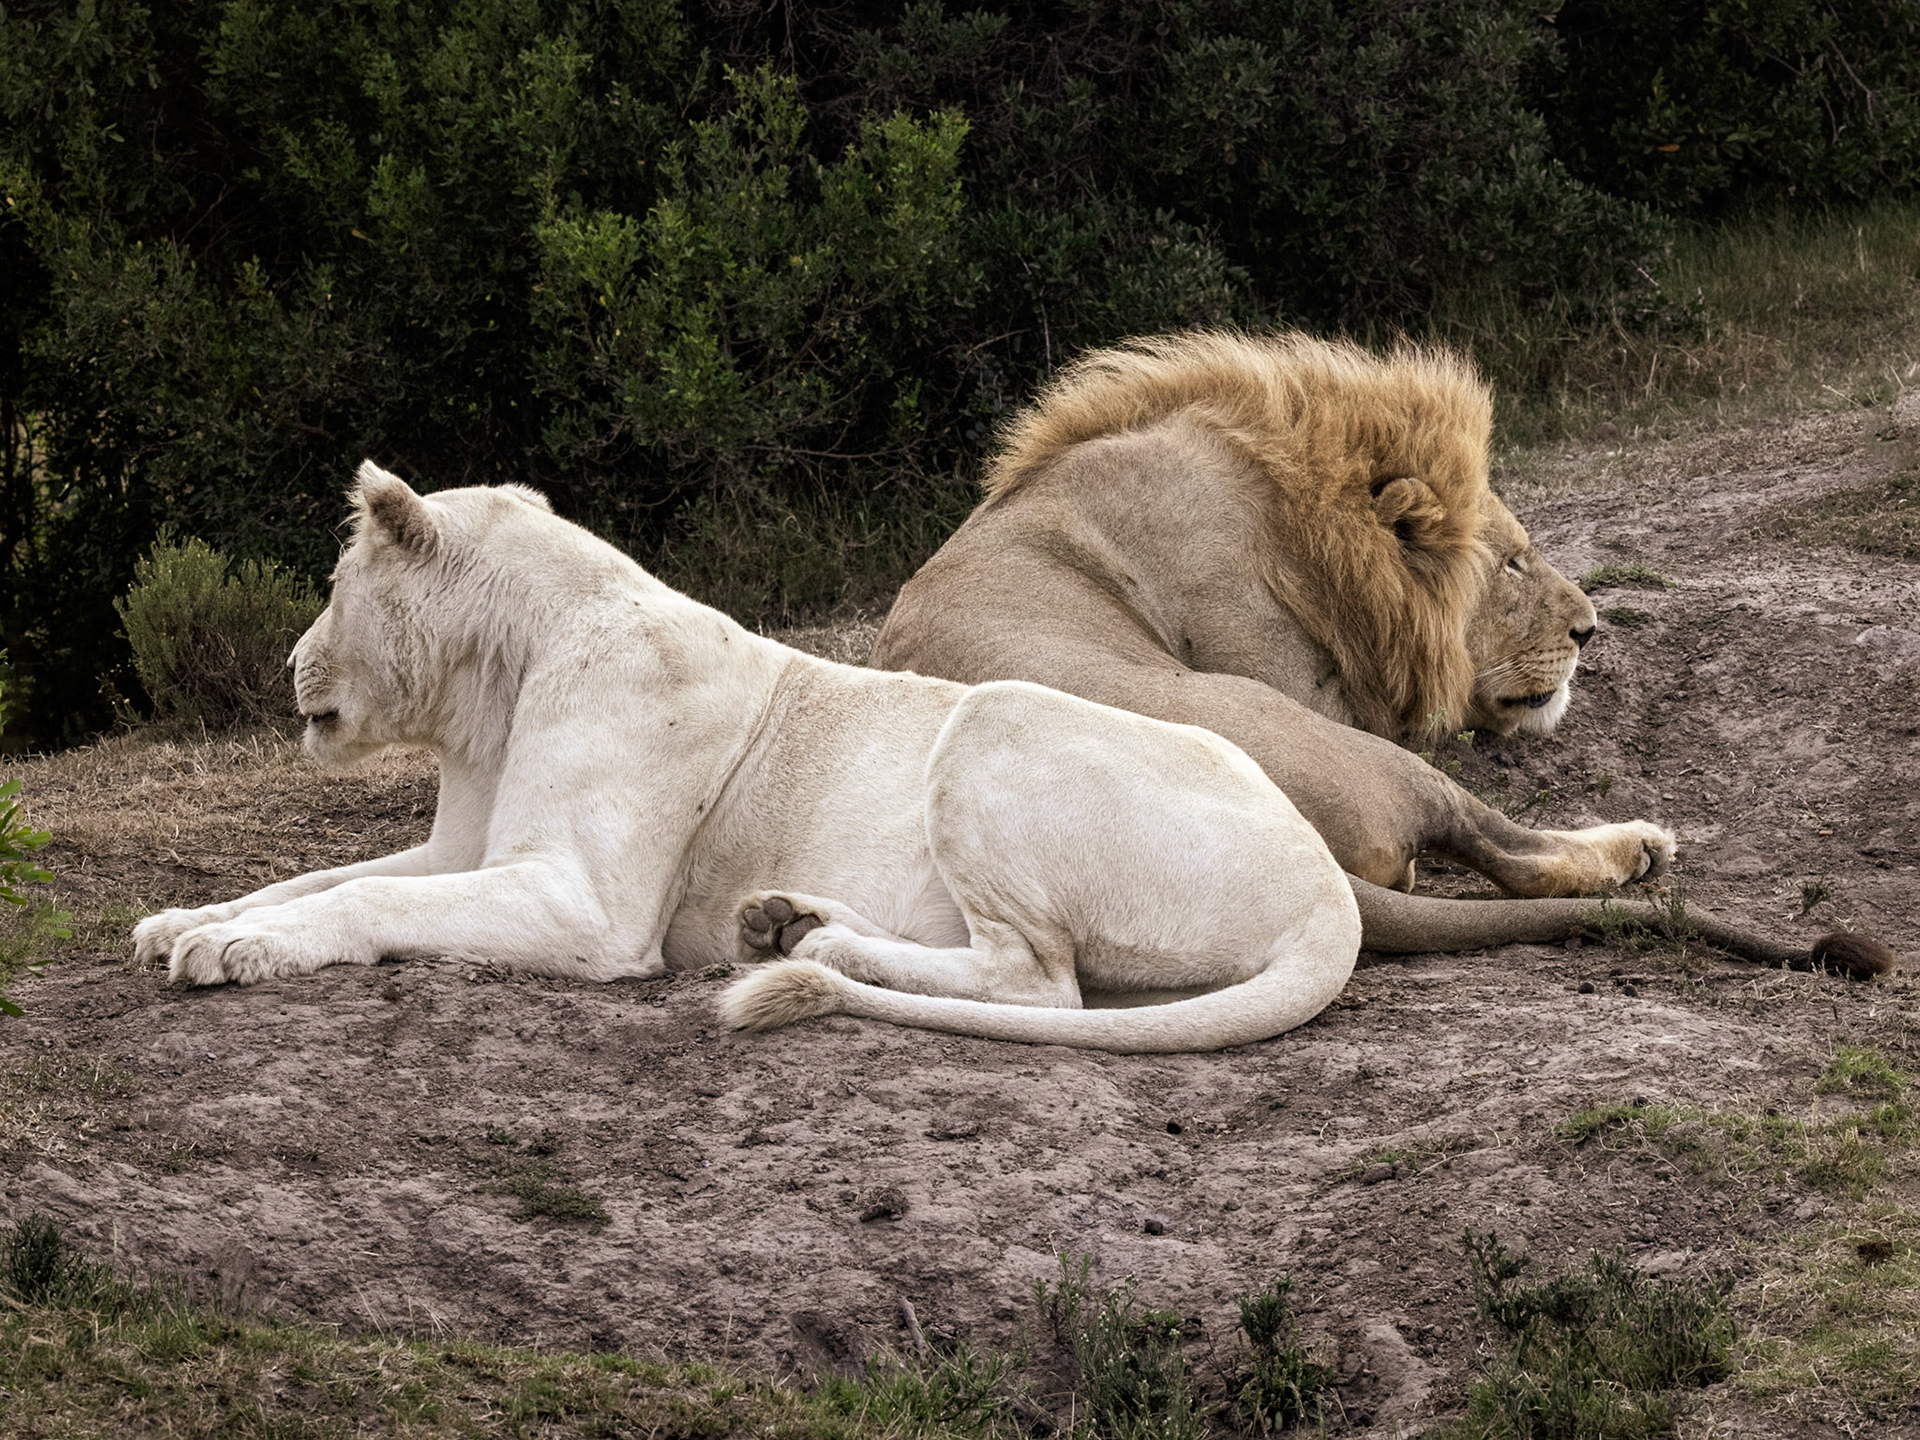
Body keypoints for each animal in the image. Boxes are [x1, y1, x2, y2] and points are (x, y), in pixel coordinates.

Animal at [130, 462, 1371, 1052]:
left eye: (332, 584)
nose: (288, 661)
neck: (499, 678)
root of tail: (1327, 889)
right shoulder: (465, 849)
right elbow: (317, 874)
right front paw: (185, 922)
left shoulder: (584, 908)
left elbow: (361, 902)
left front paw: (235, 952)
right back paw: (785, 924)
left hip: (998, 713)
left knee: (1044, 985)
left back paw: (811, 947)